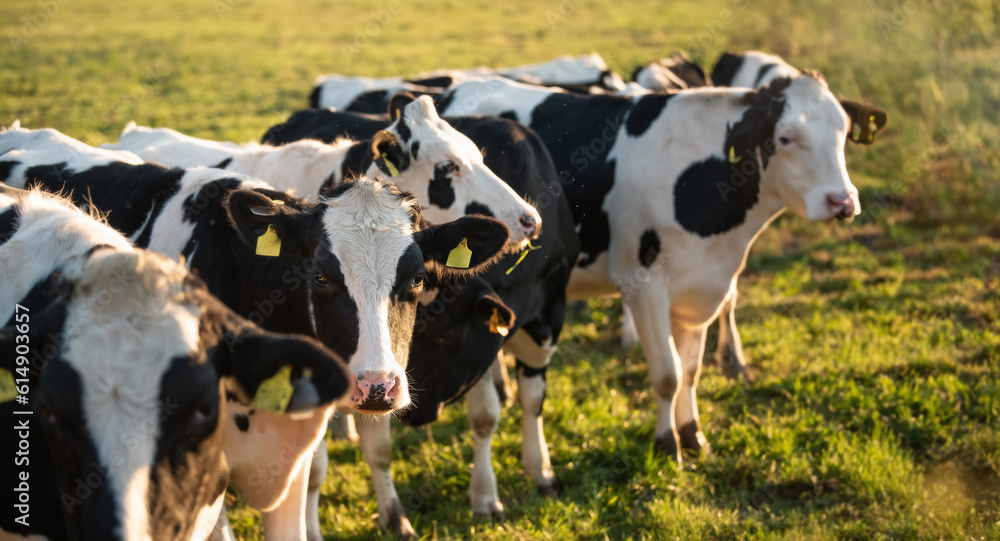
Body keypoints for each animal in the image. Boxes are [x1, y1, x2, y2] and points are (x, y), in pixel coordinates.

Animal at [262, 106, 584, 532]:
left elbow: (512, 407)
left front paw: (533, 476)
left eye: (447, 335)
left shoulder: (545, 317)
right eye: (447, 166)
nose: (413, 411)